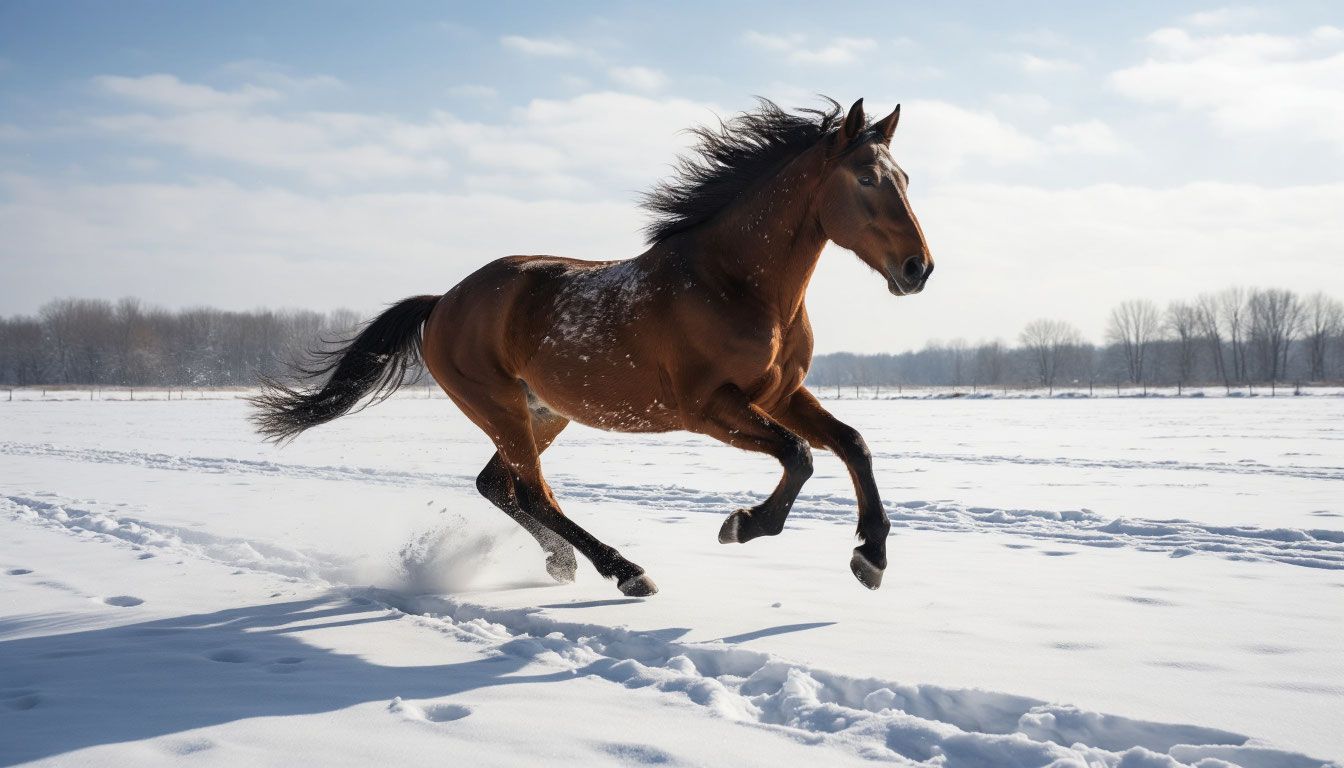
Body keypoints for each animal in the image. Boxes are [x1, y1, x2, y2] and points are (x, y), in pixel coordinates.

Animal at [250, 97, 934, 597]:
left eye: (905, 177)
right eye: (868, 178)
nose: (918, 268)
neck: (735, 283)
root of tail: (442, 302)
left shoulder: (782, 394)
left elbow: (852, 443)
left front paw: (871, 556)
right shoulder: (709, 407)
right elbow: (800, 455)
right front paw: (742, 526)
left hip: (544, 411)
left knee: (499, 485)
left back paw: (566, 564)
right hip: (499, 406)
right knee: (530, 491)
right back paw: (626, 572)